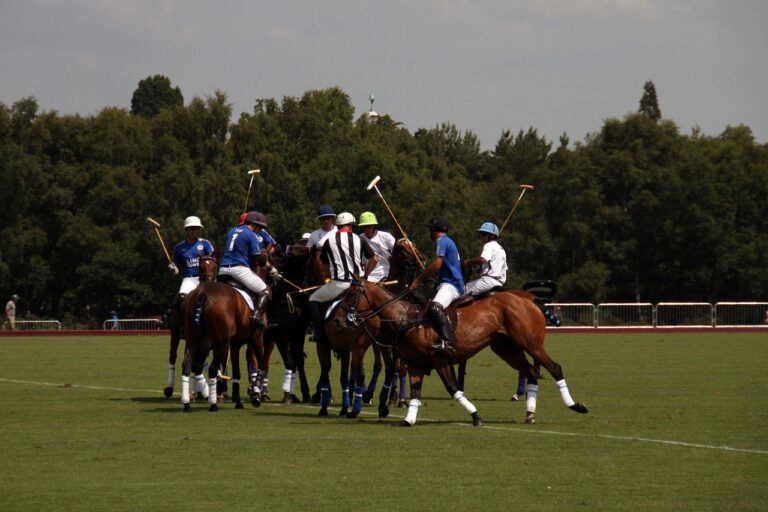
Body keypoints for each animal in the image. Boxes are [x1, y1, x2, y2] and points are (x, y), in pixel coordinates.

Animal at [164, 256, 218, 400]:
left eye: (214, 266)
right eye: (201, 267)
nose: (209, 279)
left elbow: (197, 363)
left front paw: (202, 392)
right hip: (175, 333)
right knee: (173, 356)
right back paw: (169, 389)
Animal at [183, 270, 270, 410]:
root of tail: (202, 293)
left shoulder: (235, 344)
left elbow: (237, 372)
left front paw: (238, 400)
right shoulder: (257, 338)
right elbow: (262, 364)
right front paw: (256, 396)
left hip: (193, 340)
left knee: (188, 365)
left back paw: (187, 403)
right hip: (219, 343)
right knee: (211, 368)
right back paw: (213, 404)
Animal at [336, 282, 588, 426]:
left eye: (351, 294)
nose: (339, 320)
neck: (405, 320)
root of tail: (529, 298)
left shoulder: (439, 359)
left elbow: (453, 388)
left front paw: (476, 417)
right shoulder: (415, 363)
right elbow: (416, 393)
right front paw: (408, 420)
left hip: (530, 342)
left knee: (554, 367)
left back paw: (575, 406)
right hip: (505, 348)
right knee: (532, 373)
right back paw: (530, 414)